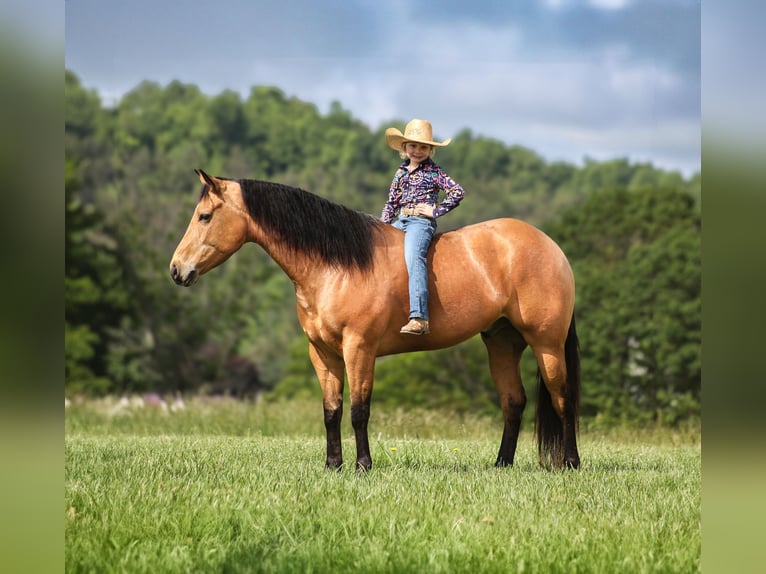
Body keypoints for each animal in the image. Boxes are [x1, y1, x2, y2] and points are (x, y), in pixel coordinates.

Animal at [170, 169, 581, 470]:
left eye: (205, 216)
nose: (176, 270)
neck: (336, 266)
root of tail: (552, 247)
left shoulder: (359, 348)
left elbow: (359, 410)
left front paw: (362, 465)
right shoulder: (323, 354)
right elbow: (331, 411)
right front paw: (332, 465)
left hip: (546, 343)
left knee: (562, 398)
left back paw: (570, 462)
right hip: (502, 343)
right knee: (514, 402)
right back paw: (501, 464)